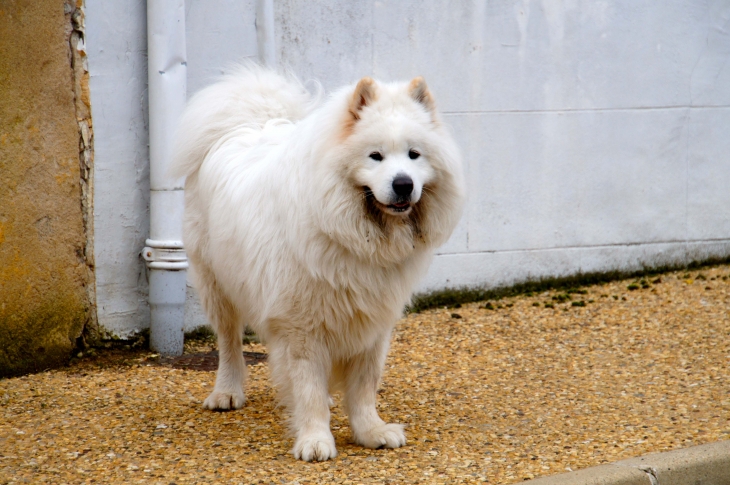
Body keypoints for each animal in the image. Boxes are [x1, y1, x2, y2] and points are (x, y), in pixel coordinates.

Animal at [172, 65, 460, 462]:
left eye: (414, 155)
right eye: (375, 156)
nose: (403, 184)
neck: (350, 234)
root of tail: (247, 124)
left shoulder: (373, 322)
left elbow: (364, 386)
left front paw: (371, 431)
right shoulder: (300, 327)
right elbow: (307, 388)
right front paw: (315, 440)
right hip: (217, 287)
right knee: (229, 343)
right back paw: (227, 392)